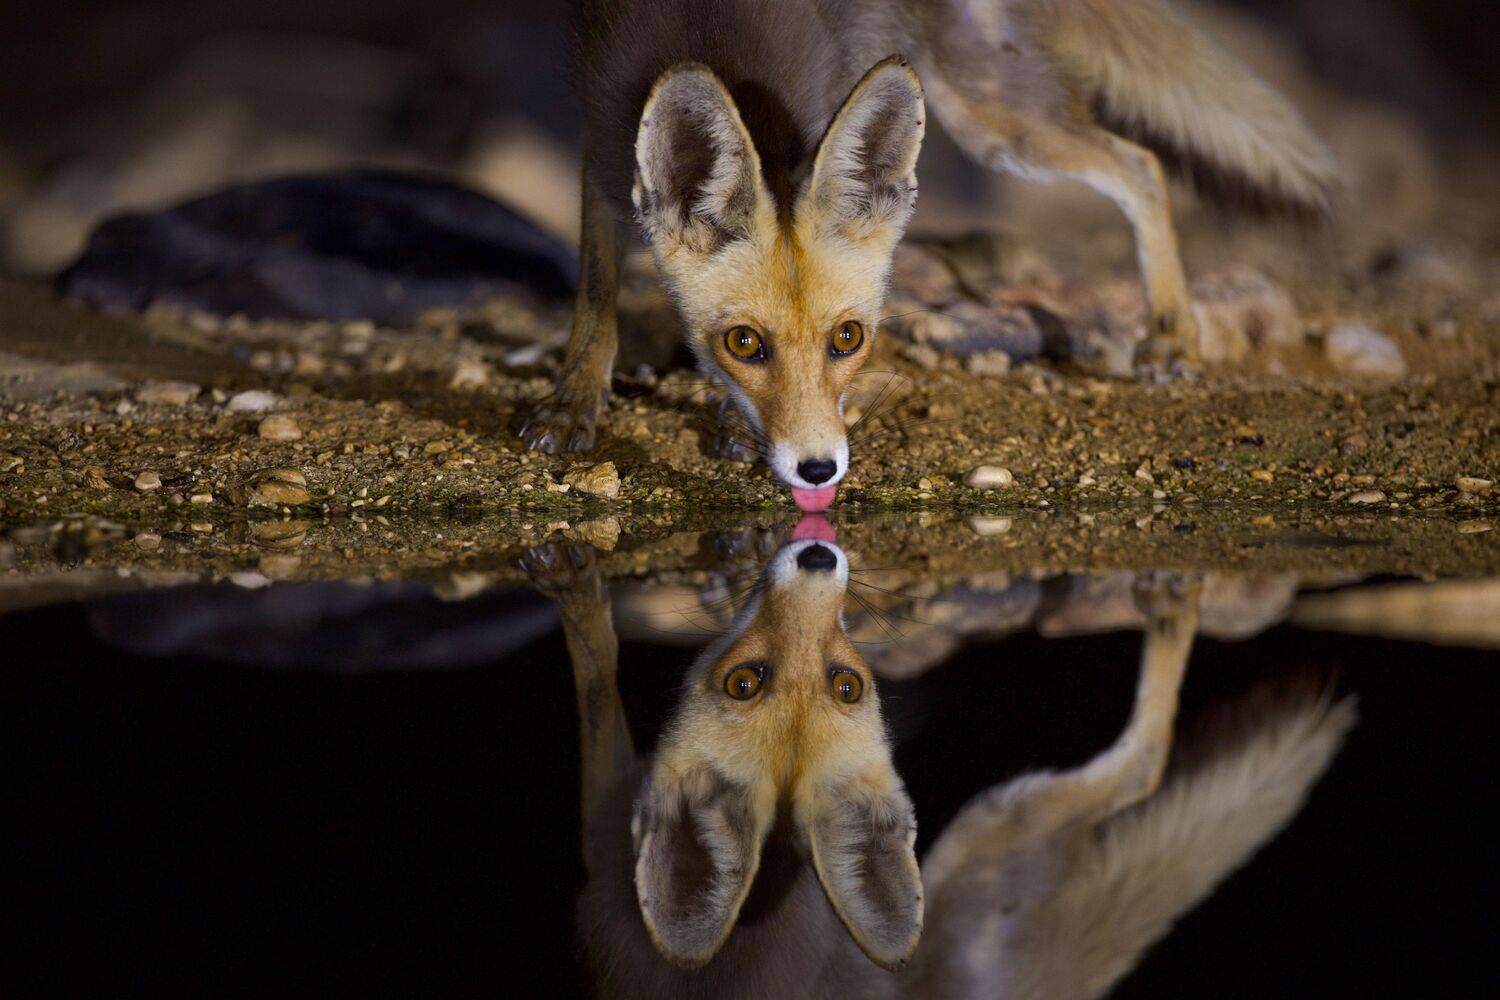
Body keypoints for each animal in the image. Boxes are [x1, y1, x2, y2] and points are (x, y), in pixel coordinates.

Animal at [520, 0, 1337, 510]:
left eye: (849, 339)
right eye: (744, 343)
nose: (818, 468)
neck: (709, 30)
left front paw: (725, 422)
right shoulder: (601, 147)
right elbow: (595, 297)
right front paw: (573, 403)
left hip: (985, 105)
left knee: (1141, 165)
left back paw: (1172, 332)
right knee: (1139, 162)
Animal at [524, 541, 1354, 997]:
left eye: (846, 686)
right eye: (745, 682)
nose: (818, 556)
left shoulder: (606, 818)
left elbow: (593, 662)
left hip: (1002, 818)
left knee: (1145, 763)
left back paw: (1175, 592)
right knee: (1143, 767)